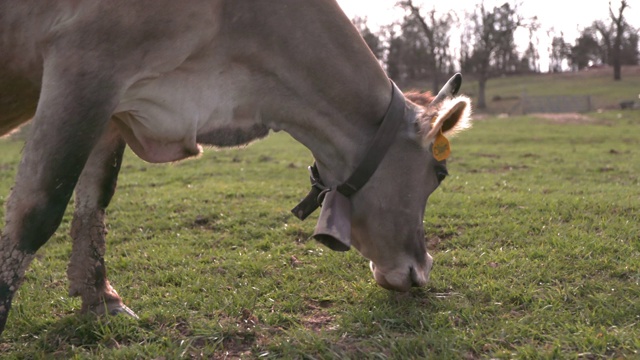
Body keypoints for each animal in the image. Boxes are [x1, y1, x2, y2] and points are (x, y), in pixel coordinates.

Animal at [0, 0, 470, 334]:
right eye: (439, 175)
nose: (421, 270)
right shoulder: (86, 66)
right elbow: (37, 211)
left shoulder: (116, 105)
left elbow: (94, 200)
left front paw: (101, 300)